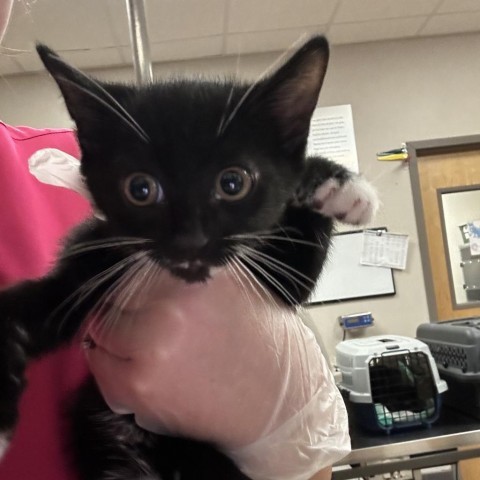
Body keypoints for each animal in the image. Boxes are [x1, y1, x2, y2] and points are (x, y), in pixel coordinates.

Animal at [0, 38, 378, 480]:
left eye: (233, 183)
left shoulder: (281, 283)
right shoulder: (94, 255)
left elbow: (297, 274)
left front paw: (337, 184)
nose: (190, 241)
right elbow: (35, 305)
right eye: (140, 189)